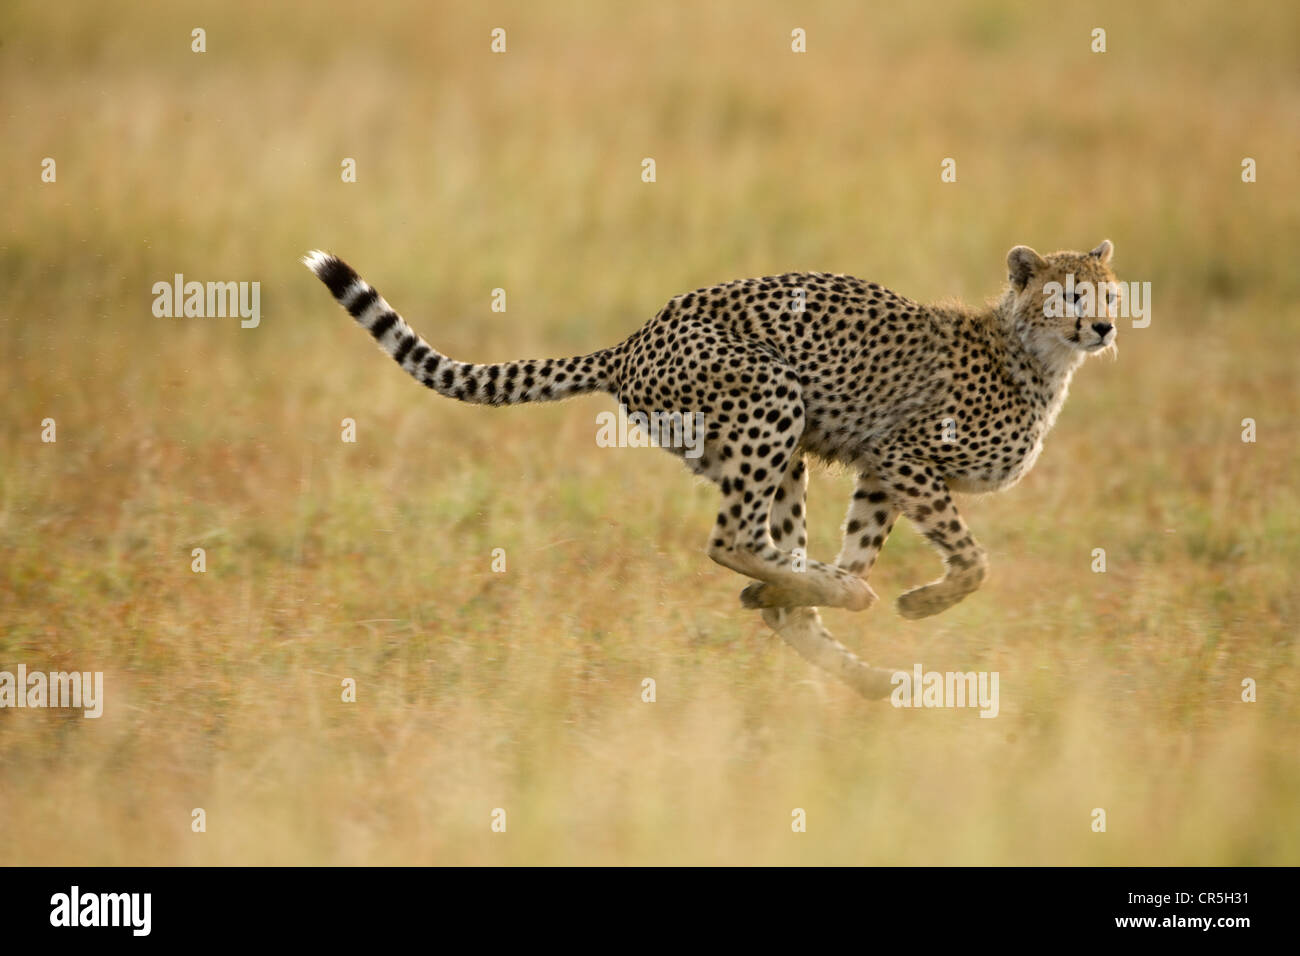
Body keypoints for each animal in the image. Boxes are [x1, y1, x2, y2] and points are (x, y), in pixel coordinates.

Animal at [304, 243, 1118, 697]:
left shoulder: (881, 468)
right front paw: (918, 602)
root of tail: (634, 340)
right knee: (731, 540)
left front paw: (844, 589)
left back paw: (851, 654)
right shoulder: (902, 453)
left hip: (784, 448)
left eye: (1108, 292)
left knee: (775, 574)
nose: (1106, 323)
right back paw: (823, 601)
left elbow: (869, 546)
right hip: (773, 396)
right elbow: (974, 561)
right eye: (1070, 294)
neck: (1035, 355)